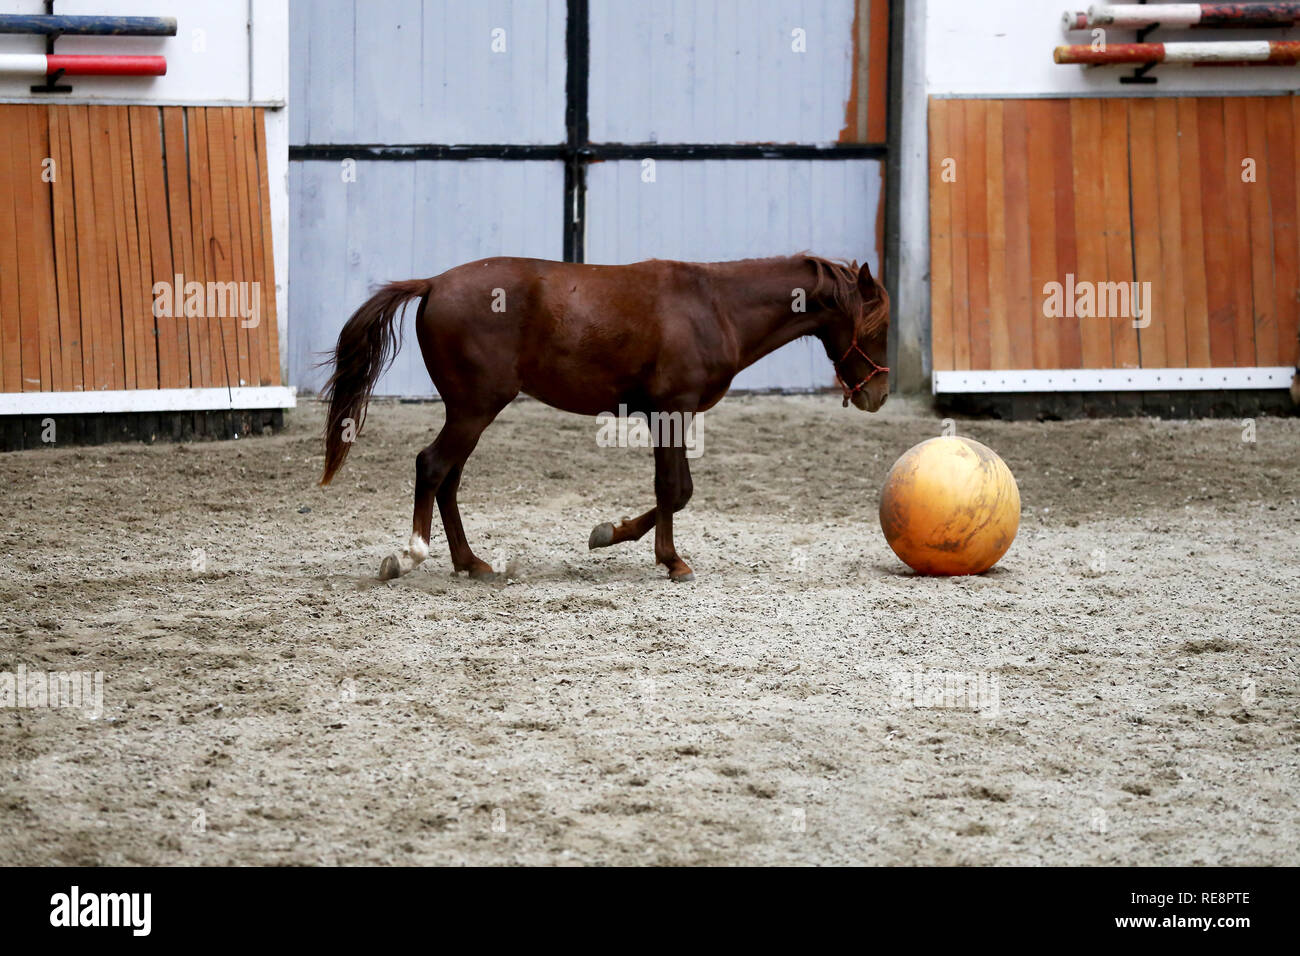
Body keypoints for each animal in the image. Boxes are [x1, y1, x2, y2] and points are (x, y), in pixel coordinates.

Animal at [319, 254, 891, 583]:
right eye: (877, 325)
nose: (879, 394)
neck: (715, 305)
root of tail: (434, 283)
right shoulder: (673, 409)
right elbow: (673, 489)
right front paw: (670, 560)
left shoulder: (669, 414)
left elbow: (678, 490)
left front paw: (611, 534)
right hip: (474, 409)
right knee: (433, 467)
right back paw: (413, 554)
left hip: (468, 412)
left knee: (449, 479)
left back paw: (470, 562)